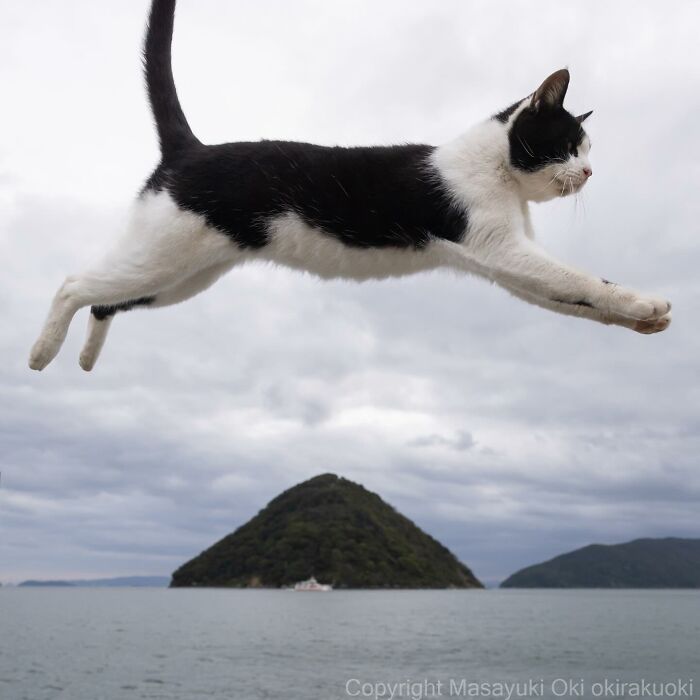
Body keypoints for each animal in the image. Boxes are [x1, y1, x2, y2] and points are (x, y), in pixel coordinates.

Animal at [28, 0, 672, 372]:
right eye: (568, 147)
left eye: (587, 152)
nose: (589, 173)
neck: (496, 171)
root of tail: (190, 148)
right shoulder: (501, 247)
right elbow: (583, 280)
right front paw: (645, 301)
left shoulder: (505, 265)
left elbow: (574, 298)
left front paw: (645, 320)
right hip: (161, 257)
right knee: (74, 284)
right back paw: (42, 353)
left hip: (183, 278)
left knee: (106, 300)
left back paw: (84, 358)